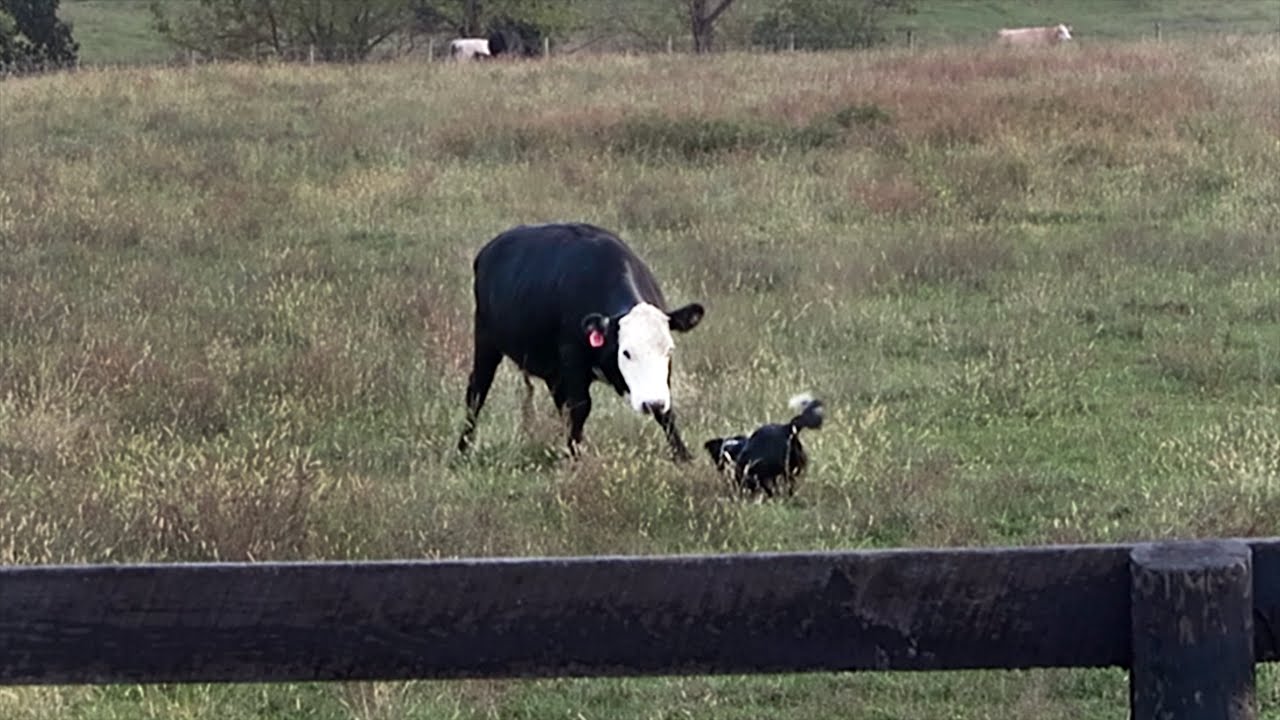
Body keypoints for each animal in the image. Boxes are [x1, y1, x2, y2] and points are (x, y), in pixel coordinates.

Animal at [456, 223, 706, 461]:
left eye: (669, 350)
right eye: (626, 352)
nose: (651, 403)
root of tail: (490, 248)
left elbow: (667, 413)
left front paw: (683, 456)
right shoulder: (572, 358)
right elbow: (580, 407)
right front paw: (576, 457)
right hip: (486, 340)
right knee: (476, 391)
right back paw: (462, 449)